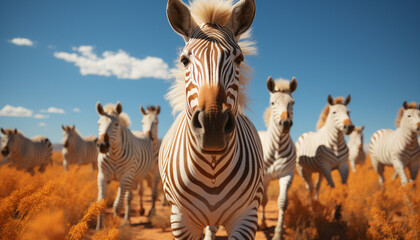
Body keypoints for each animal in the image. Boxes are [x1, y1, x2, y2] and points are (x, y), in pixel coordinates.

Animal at [95, 101, 154, 229]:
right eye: (99, 123)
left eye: (116, 124)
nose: (102, 145)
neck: (114, 154)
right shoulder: (102, 176)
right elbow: (100, 203)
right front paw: (98, 228)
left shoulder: (125, 177)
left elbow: (117, 205)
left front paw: (115, 228)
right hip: (132, 178)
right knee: (129, 197)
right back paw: (129, 218)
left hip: (141, 175)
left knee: (141, 193)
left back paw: (142, 213)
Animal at [160, 0, 262, 239]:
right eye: (184, 60)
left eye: (239, 59)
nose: (213, 127)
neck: (212, 167)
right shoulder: (180, 220)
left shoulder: (247, 217)